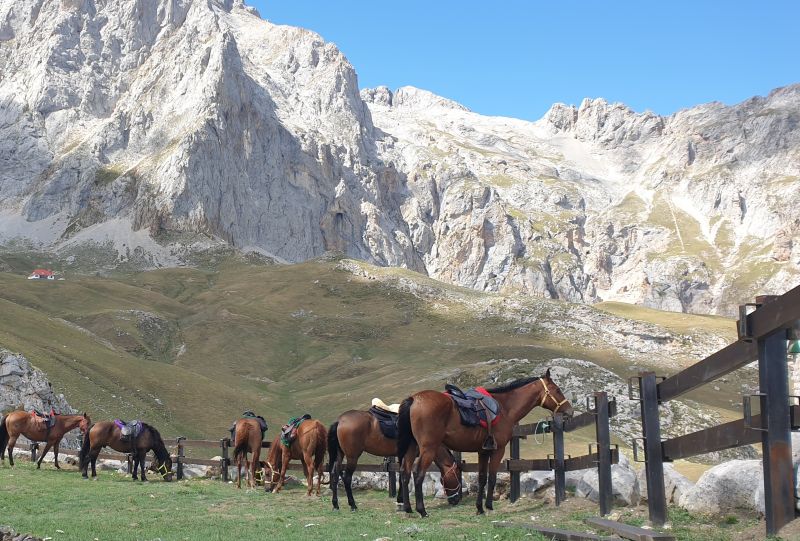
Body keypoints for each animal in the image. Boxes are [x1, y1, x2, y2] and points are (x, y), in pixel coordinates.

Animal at [326, 410, 462, 510]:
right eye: (457, 475)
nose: (455, 500)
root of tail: (340, 420)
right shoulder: (410, 455)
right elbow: (405, 475)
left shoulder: (402, 457)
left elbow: (402, 477)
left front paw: (400, 500)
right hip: (352, 457)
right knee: (347, 478)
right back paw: (353, 505)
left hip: (340, 455)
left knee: (335, 474)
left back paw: (335, 504)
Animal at [396, 370, 572, 516]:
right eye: (558, 390)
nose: (569, 411)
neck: (505, 408)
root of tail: (414, 399)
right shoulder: (498, 450)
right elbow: (492, 478)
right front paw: (488, 506)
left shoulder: (483, 451)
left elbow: (482, 478)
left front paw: (479, 508)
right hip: (428, 449)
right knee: (417, 474)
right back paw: (422, 510)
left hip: (412, 448)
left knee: (405, 473)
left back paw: (408, 508)